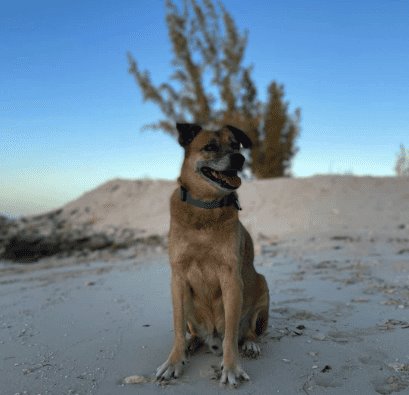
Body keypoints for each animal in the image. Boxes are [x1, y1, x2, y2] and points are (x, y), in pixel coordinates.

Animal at [155, 123, 268, 386]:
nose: (239, 159)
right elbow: (177, 328)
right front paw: (174, 361)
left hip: (261, 285)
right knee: (193, 332)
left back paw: (250, 344)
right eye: (210, 147)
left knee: (246, 331)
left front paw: (231, 367)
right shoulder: (178, 279)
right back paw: (191, 343)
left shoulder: (231, 279)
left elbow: (231, 334)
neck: (206, 207)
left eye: (235, 145)